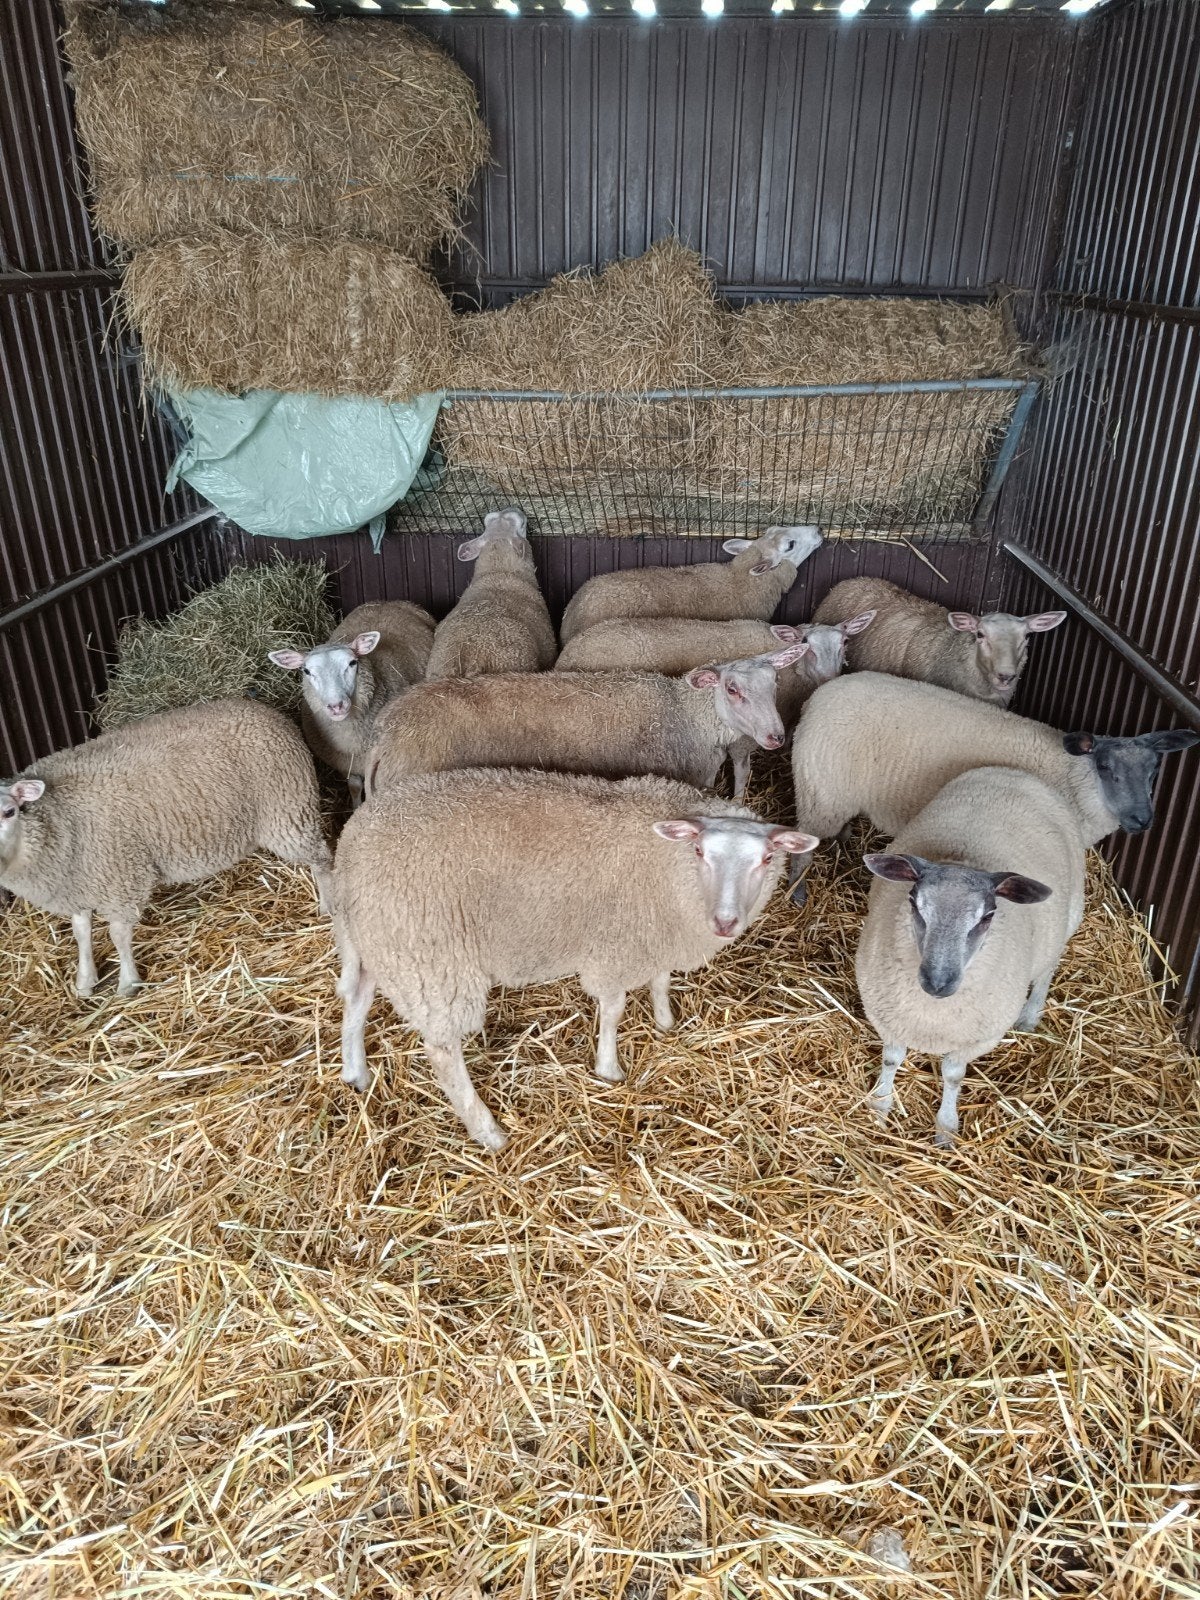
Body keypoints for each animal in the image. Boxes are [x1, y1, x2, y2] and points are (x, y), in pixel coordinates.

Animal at [0, 699, 332, 998]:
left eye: (9, 811)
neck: (55, 817)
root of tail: (273, 714)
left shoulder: (122, 878)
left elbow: (118, 935)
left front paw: (128, 984)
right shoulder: (76, 882)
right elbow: (81, 933)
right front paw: (85, 982)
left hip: (288, 812)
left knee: (322, 860)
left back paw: (327, 906)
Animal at [268, 600, 435, 803]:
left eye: (352, 663)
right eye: (306, 671)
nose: (336, 706)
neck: (348, 740)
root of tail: (387, 601)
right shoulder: (347, 763)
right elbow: (355, 786)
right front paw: (355, 805)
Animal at [333, 765, 817, 1148]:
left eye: (767, 858)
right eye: (700, 851)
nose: (725, 922)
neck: (671, 869)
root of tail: (351, 846)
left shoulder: (657, 933)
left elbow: (660, 979)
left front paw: (665, 1022)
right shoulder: (615, 946)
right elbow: (614, 1008)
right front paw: (609, 1069)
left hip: (380, 944)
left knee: (357, 998)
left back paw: (355, 1072)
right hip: (431, 958)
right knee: (442, 1049)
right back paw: (488, 1131)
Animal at [791, 672, 1200, 854]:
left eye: (1154, 771)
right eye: (1105, 768)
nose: (1142, 820)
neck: (1070, 777)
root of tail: (816, 697)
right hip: (823, 790)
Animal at [855, 767, 1086, 1145]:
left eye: (987, 916)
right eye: (913, 903)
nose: (937, 982)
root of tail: (1014, 772)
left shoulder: (973, 1038)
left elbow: (952, 1076)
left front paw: (946, 1128)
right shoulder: (888, 1016)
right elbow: (891, 1059)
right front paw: (880, 1103)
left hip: (1068, 918)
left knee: (1047, 970)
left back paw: (1030, 1016)